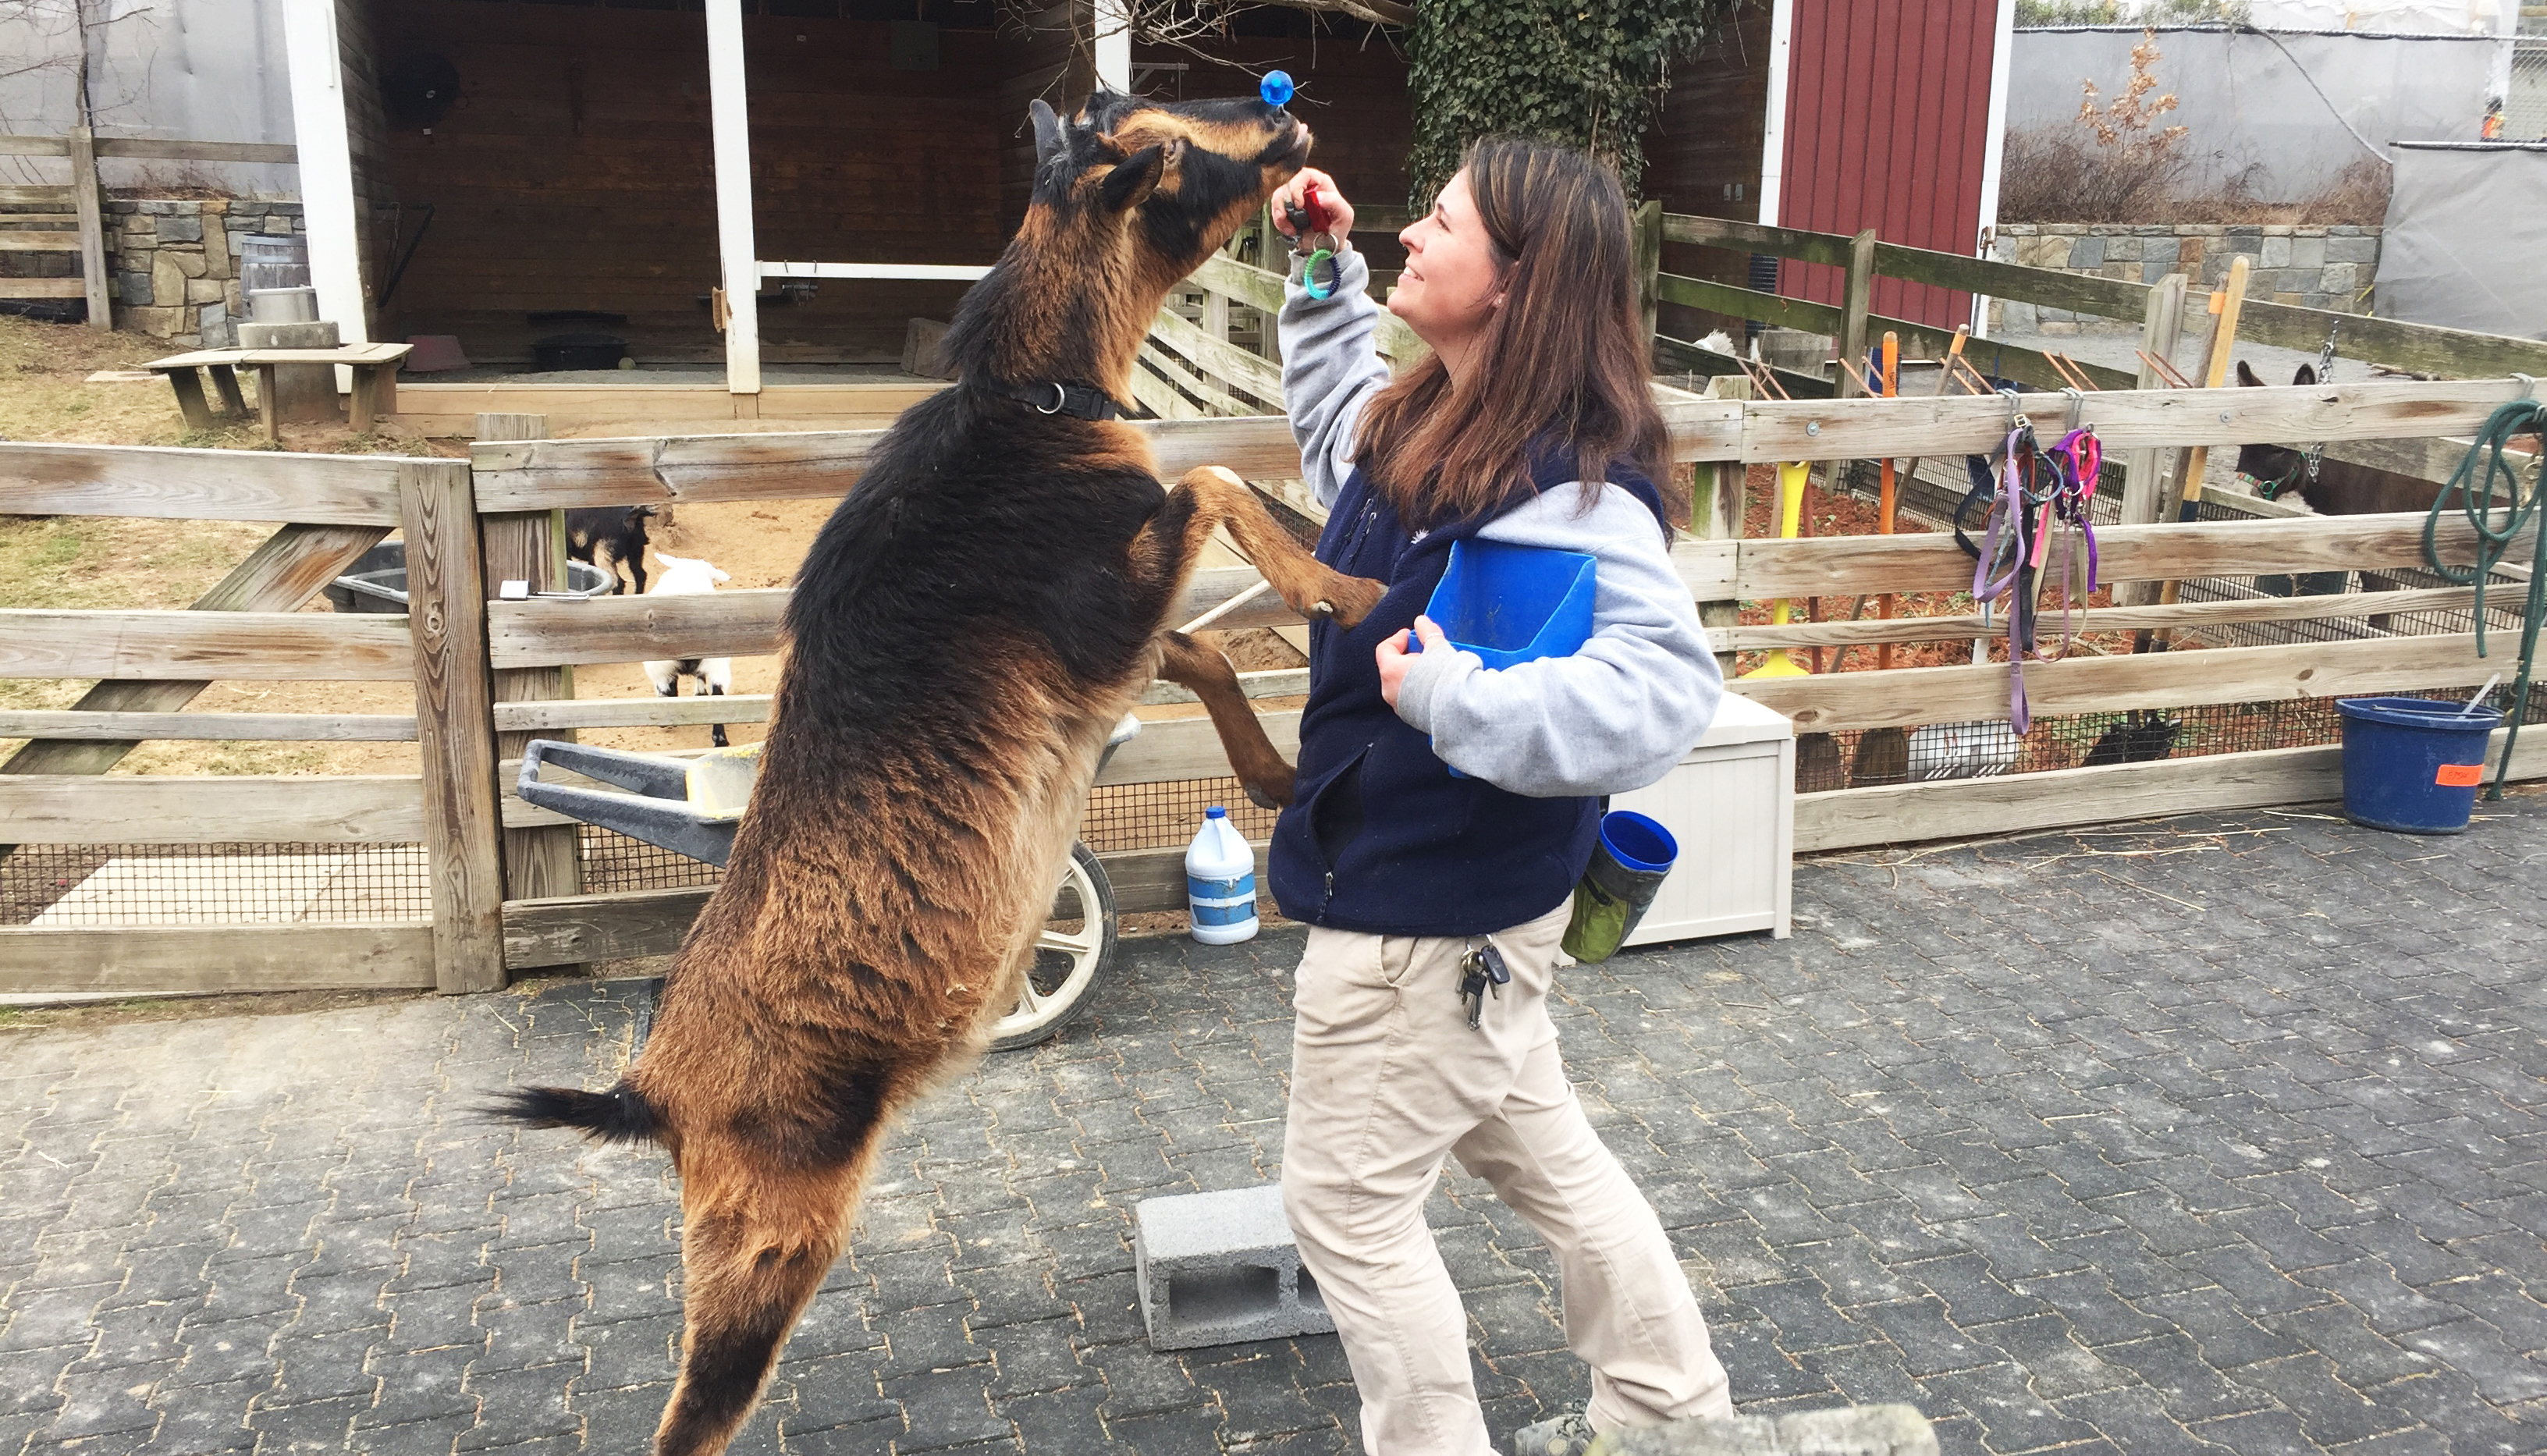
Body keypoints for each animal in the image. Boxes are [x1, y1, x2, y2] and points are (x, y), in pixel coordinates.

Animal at [488, 91, 1385, 1456]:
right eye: (1164, 149)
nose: (1284, 125)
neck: (1036, 404)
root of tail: (651, 1093)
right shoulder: (1099, 608)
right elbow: (1217, 482)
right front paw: (1350, 589)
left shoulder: (1108, 649)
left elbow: (1196, 644)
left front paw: (1274, 774)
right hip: (772, 1233)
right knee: (691, 1419)